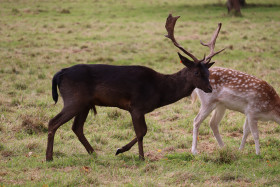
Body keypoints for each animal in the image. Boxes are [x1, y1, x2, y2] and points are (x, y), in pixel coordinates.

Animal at [46, 14, 224, 161]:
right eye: (196, 72)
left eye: (208, 72)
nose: (210, 89)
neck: (160, 91)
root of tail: (60, 73)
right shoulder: (137, 106)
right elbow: (142, 132)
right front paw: (140, 156)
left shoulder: (139, 109)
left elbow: (142, 131)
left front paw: (120, 150)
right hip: (74, 99)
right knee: (53, 122)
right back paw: (49, 157)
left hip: (85, 103)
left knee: (77, 127)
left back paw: (94, 153)